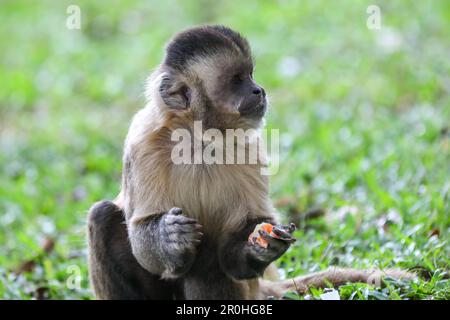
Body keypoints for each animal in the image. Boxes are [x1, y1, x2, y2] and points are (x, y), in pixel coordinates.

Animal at [87, 25, 414, 300]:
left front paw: (262, 245)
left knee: (209, 259)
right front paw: (169, 236)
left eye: (251, 75)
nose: (259, 90)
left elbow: (240, 237)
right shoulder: (142, 142)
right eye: (237, 80)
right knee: (102, 216)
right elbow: (142, 233)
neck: (199, 139)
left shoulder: (250, 146)